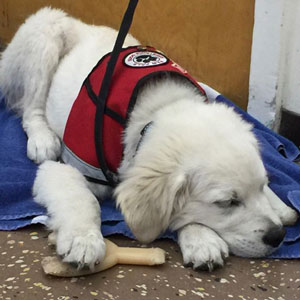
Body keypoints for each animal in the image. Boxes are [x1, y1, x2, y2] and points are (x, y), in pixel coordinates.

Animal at [0, 7, 296, 270]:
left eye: (261, 186)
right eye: (227, 203)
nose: (278, 236)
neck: (156, 107)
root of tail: (81, 25)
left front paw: (202, 238)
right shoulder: (67, 168)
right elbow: (81, 198)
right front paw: (83, 239)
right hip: (46, 29)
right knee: (30, 107)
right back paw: (42, 139)